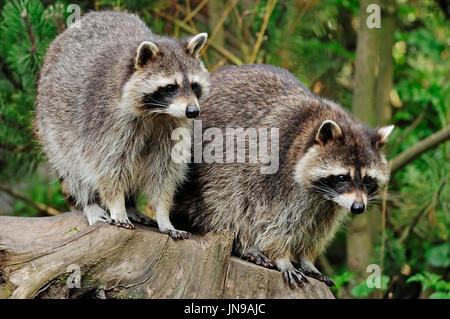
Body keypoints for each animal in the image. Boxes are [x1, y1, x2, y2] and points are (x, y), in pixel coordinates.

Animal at [34, 11, 209, 239]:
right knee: (71, 166)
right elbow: (108, 166)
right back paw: (88, 202)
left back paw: (131, 205)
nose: (193, 112)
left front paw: (163, 215)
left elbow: (165, 171)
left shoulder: (173, 127)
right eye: (171, 87)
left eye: (194, 86)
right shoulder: (106, 121)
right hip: (53, 123)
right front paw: (117, 205)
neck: (158, 114)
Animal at [172, 65, 394, 288]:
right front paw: (282, 256)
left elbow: (319, 228)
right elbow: (272, 217)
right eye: (342, 178)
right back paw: (243, 243)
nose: (358, 208)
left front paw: (307, 258)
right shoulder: (273, 169)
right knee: (223, 199)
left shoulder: (329, 204)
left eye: (368, 180)